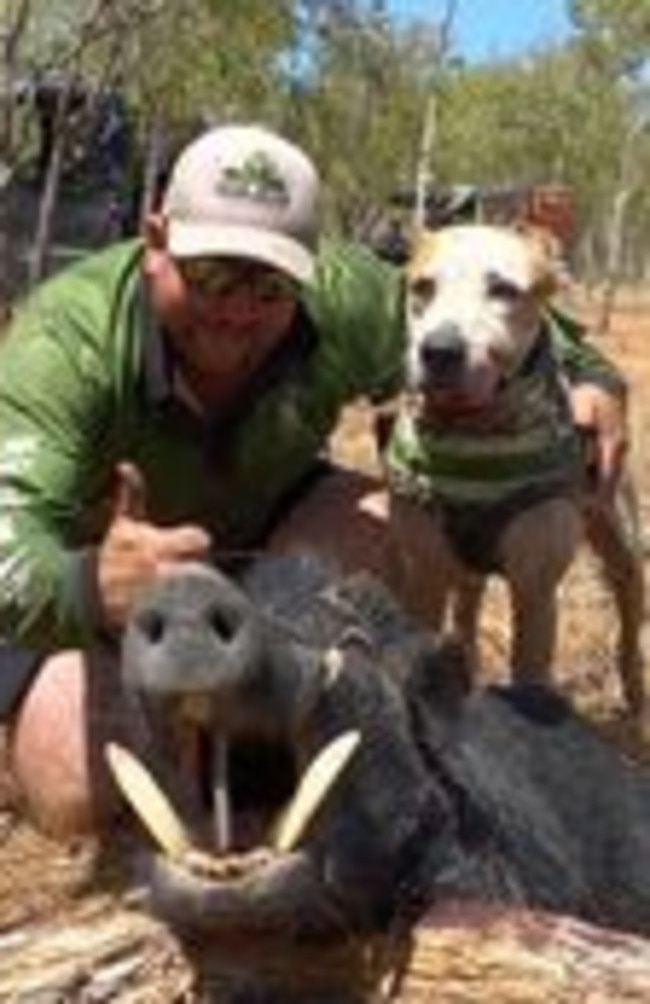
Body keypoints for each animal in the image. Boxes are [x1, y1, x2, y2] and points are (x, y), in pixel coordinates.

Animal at [385, 224, 646, 718]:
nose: (439, 351)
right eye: (422, 287)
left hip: (618, 537)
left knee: (628, 602)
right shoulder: (421, 575)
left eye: (504, 290)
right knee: (467, 611)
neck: (472, 438)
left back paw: (633, 686)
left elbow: (528, 673)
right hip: (465, 569)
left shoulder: (535, 593)